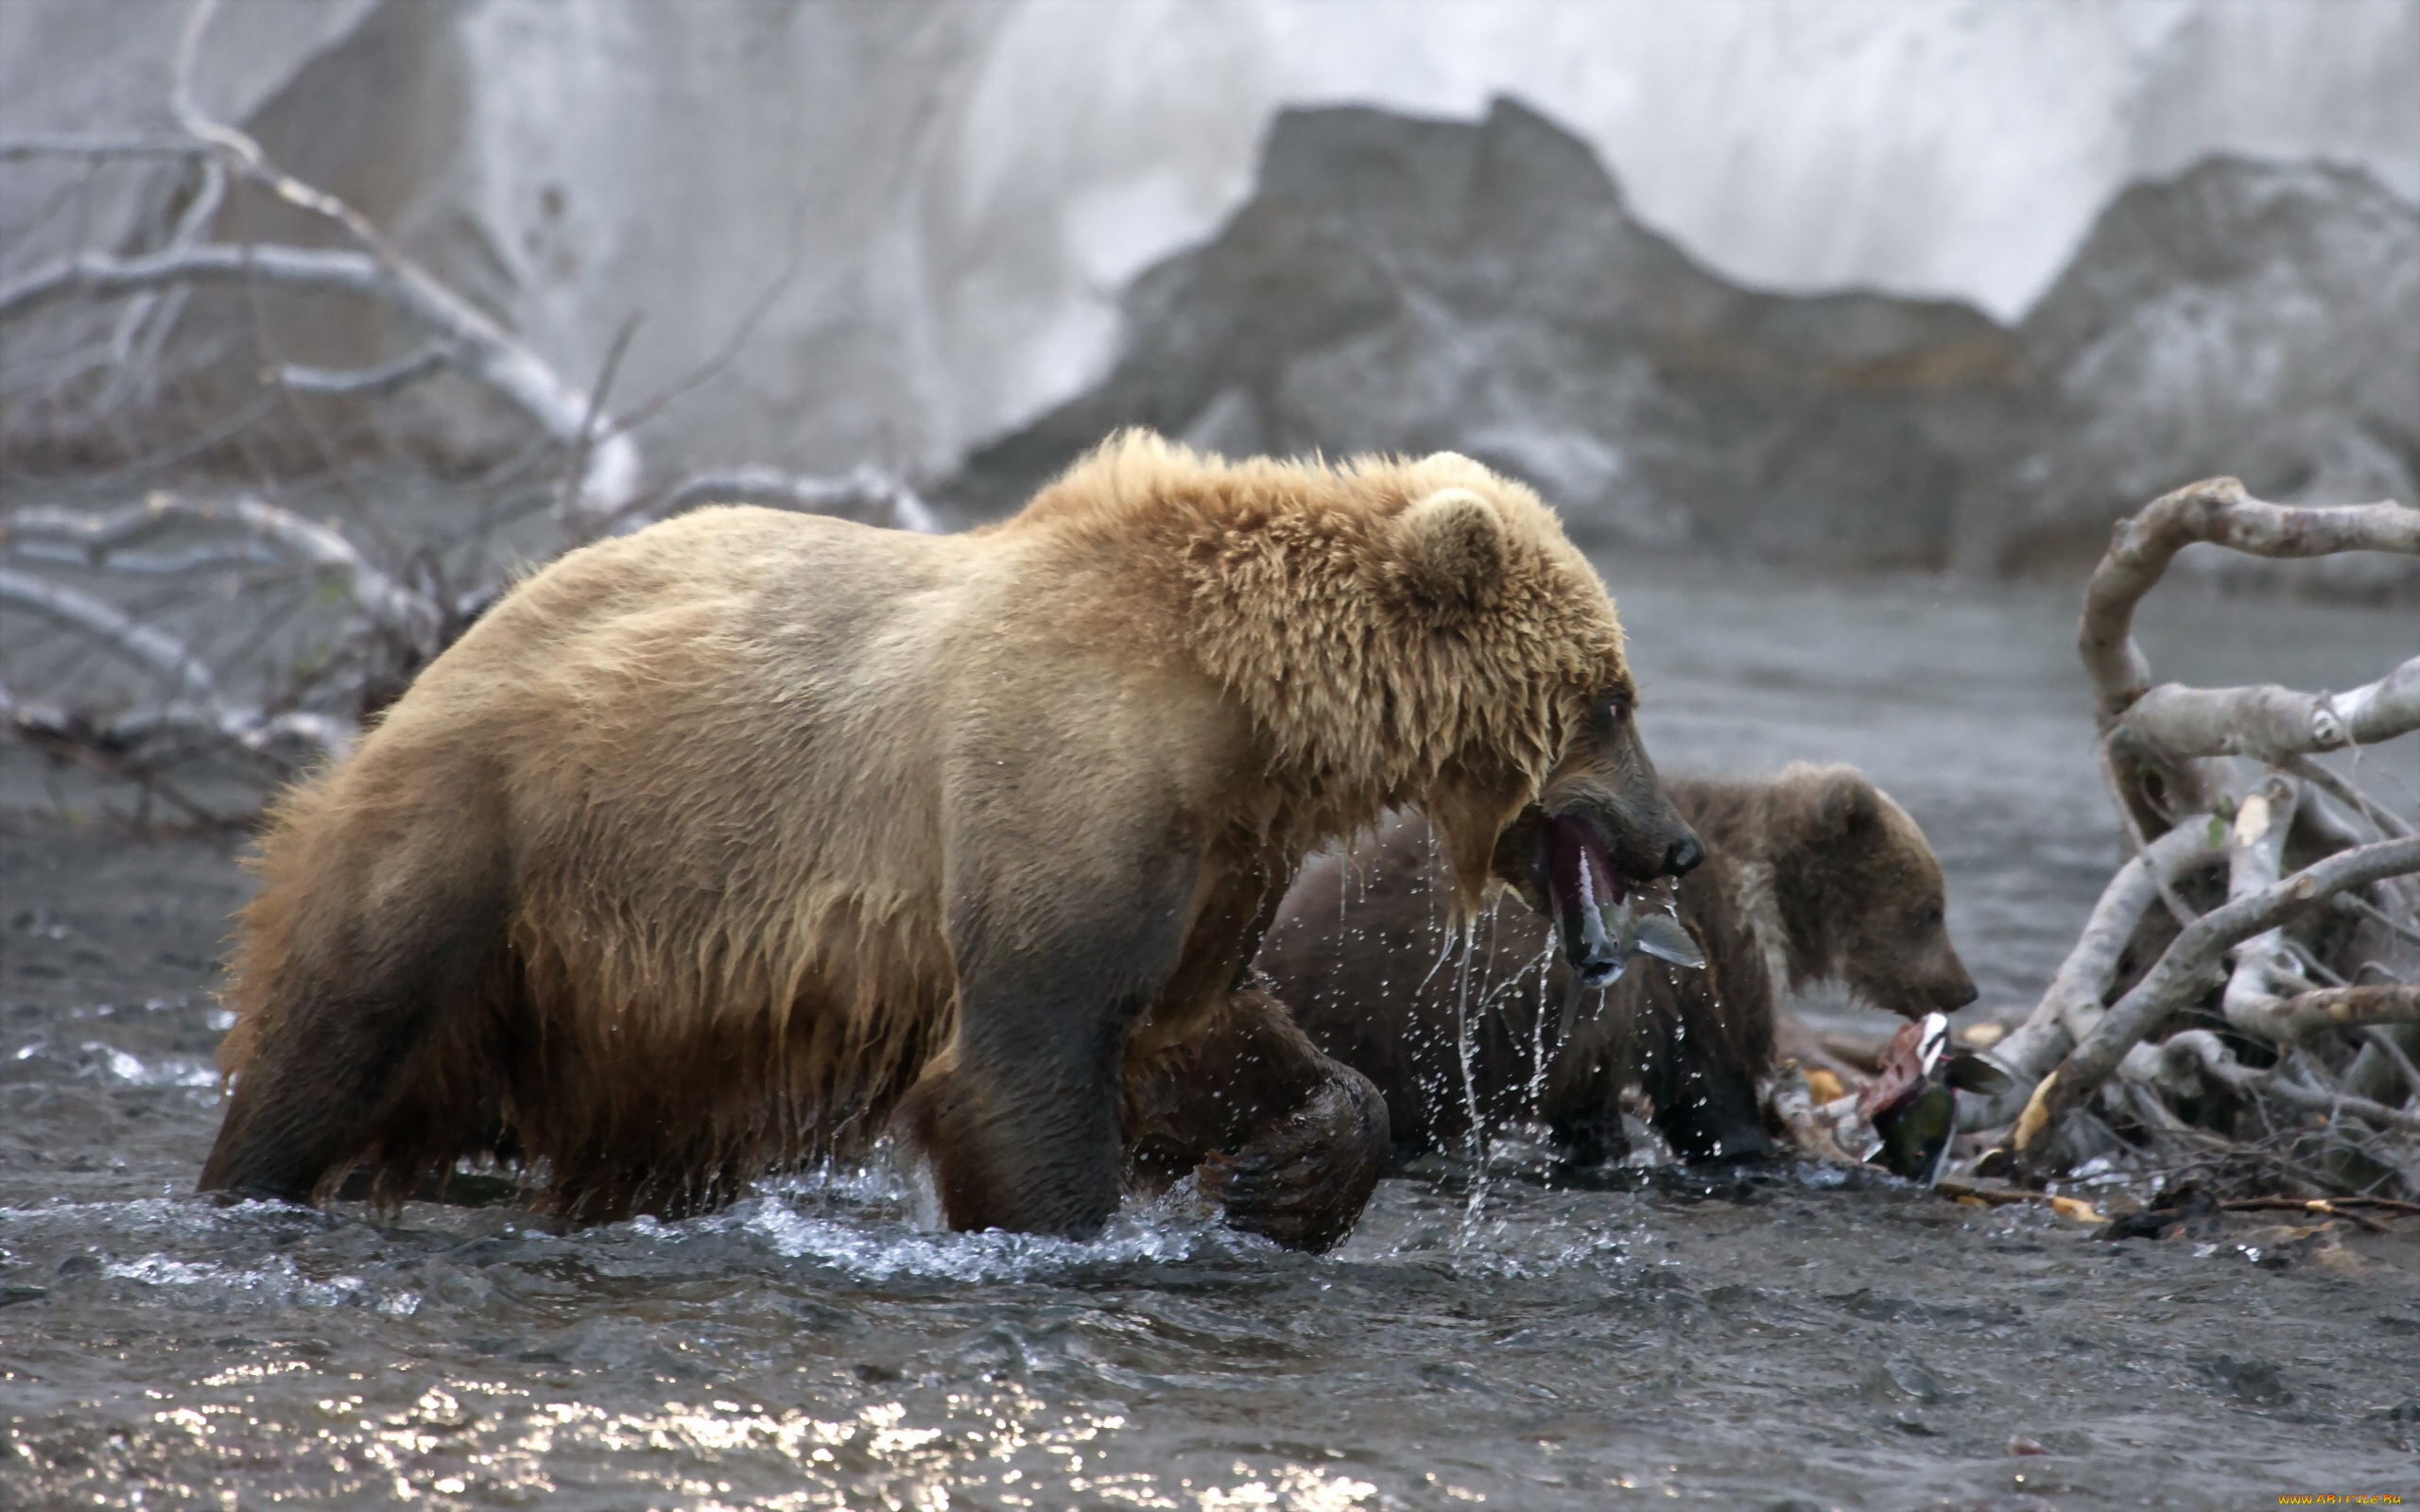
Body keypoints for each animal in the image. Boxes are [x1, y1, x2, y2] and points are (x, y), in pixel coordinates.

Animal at [203, 430, 1703, 1247]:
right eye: (1612, 695)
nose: (1678, 841)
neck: (1248, 713)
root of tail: (433, 668)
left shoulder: (1210, 850)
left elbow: (1195, 1027)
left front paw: (1298, 1165)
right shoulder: (1062, 773)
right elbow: (1030, 1053)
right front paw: (1073, 1225)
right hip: (487, 842)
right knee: (338, 1031)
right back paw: (249, 1182)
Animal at [1258, 764, 1974, 1165]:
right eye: (1929, 910)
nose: (1964, 989)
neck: (1772, 891)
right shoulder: (1706, 954)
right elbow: (1711, 1077)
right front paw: (1752, 1141)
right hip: (1395, 1014)